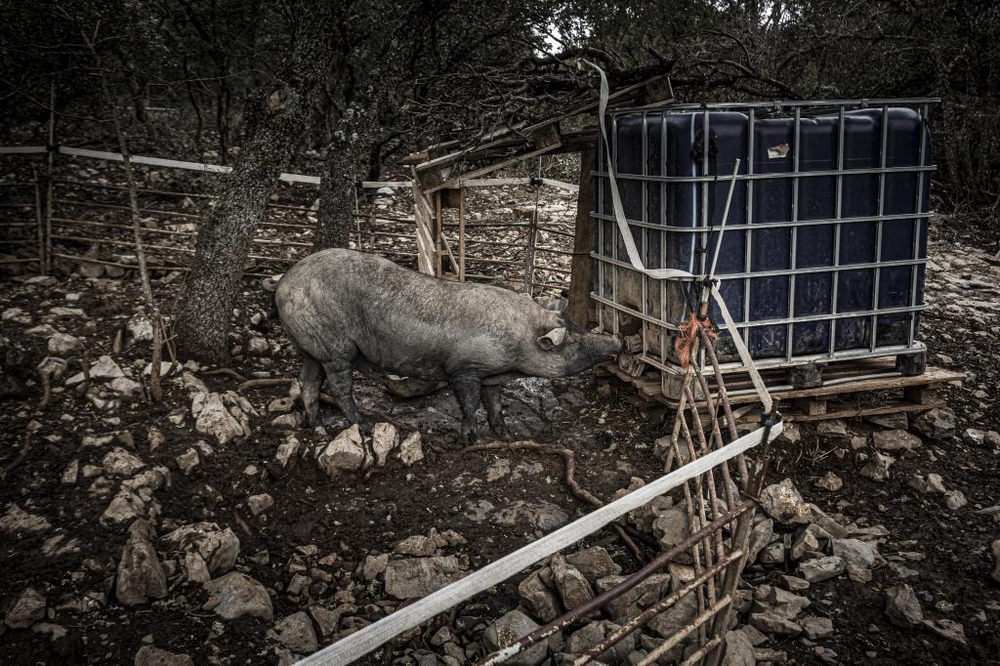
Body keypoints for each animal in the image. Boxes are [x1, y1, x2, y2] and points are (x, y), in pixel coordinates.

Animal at [272, 249, 616, 440]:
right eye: (572, 340)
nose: (618, 341)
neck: (517, 343)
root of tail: (283, 283)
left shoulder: (490, 375)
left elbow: (494, 402)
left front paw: (504, 433)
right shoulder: (463, 368)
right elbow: (470, 403)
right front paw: (470, 438)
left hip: (311, 347)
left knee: (307, 381)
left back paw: (316, 425)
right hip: (336, 348)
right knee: (339, 386)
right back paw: (364, 427)